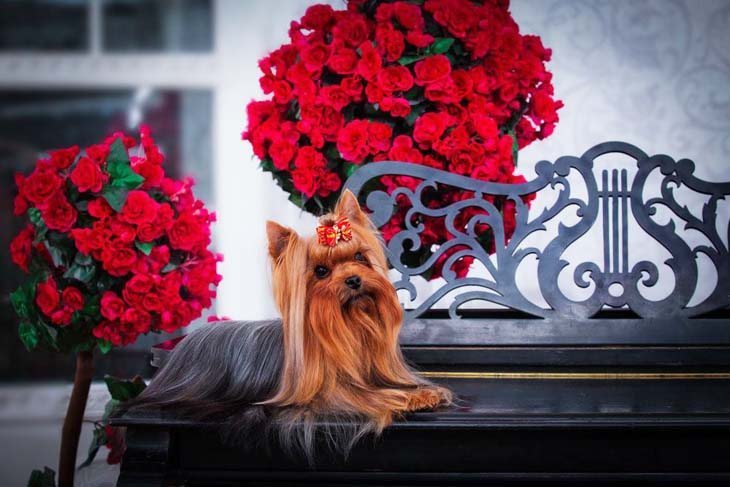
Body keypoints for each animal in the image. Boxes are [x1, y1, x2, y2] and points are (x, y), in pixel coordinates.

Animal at [131, 192, 450, 462]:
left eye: (359, 257)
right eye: (321, 272)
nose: (354, 280)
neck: (351, 325)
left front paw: (422, 393)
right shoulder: (332, 396)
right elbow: (366, 396)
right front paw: (405, 398)